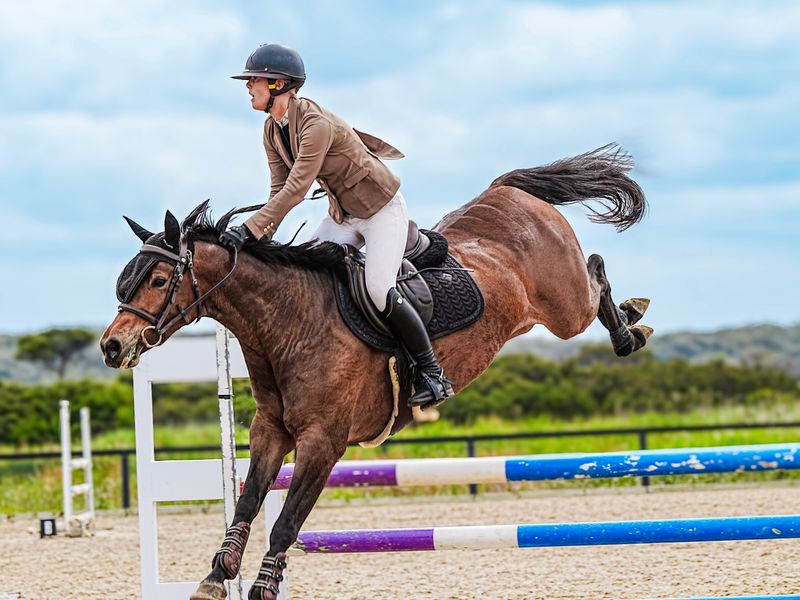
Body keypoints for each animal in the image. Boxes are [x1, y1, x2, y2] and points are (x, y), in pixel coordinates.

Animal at [100, 144, 652, 600]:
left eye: (158, 279)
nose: (112, 346)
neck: (290, 322)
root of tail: (507, 191)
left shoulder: (323, 441)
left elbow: (286, 522)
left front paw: (262, 588)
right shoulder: (270, 431)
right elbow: (248, 502)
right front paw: (217, 576)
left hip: (565, 308)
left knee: (595, 272)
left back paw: (632, 327)